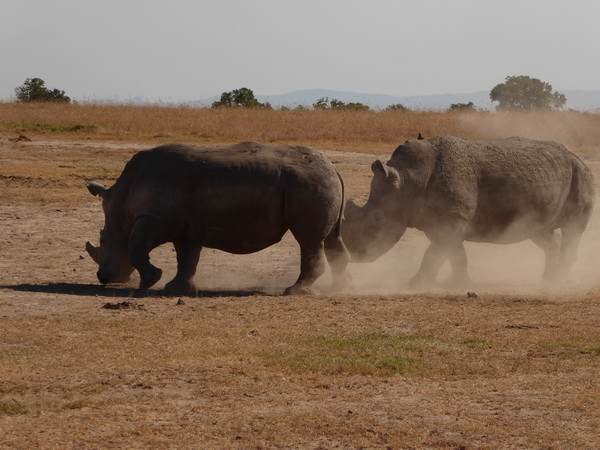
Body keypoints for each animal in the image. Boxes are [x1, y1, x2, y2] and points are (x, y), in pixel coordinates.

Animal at [86, 142, 350, 296]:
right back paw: (337, 289)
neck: (122, 204)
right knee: (330, 239)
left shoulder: (154, 218)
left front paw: (150, 281)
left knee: (308, 240)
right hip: (317, 182)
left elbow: (137, 247)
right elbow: (187, 259)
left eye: (103, 239)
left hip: (307, 183)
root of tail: (333, 167)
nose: (103, 278)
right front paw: (177, 289)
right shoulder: (186, 229)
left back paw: (295, 291)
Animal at [342, 135, 596, 288]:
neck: (408, 179)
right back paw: (548, 279)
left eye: (376, 221)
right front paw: (457, 284)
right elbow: (453, 253)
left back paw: (560, 282)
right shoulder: (439, 218)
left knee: (573, 227)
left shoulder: (453, 216)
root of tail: (575, 155)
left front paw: (415, 285)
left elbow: (435, 252)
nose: (355, 255)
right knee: (540, 230)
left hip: (581, 172)